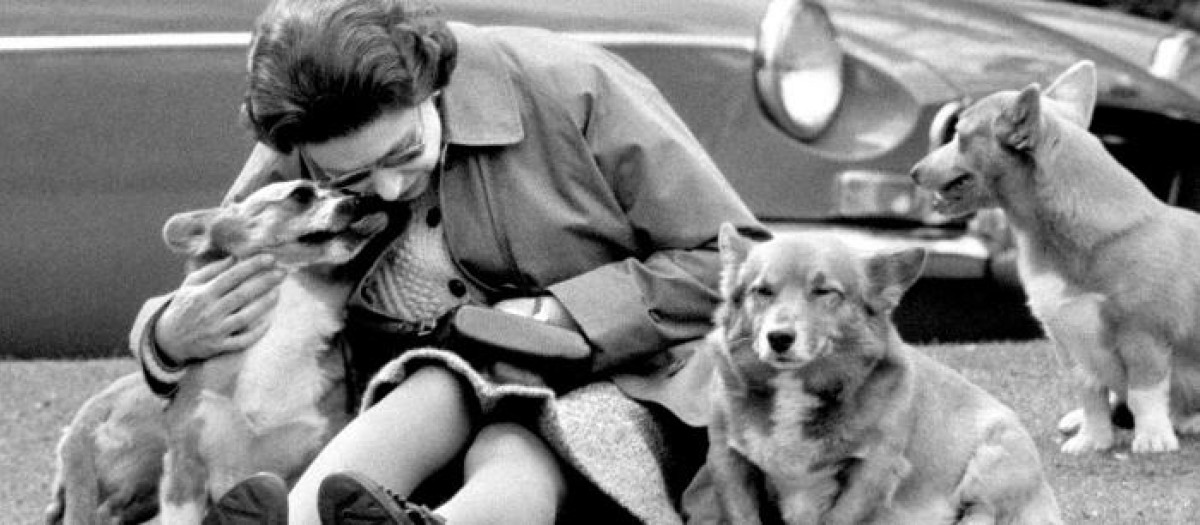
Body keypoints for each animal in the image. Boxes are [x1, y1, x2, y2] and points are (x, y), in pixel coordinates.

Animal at [44, 178, 384, 522]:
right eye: (301, 195)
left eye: (342, 189)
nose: (363, 197)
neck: (282, 321)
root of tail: (90, 411)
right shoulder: (184, 471)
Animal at [700, 224, 1060, 525]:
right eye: (762, 291)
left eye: (824, 291)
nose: (778, 338)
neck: (797, 388)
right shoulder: (729, 462)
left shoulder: (874, 470)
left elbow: (841, 517)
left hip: (991, 470)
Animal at [907, 61, 1200, 453]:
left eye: (958, 135)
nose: (913, 172)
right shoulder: (1071, 347)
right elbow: (1091, 397)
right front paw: (1092, 441)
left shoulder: (1144, 336)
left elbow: (1144, 394)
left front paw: (1152, 438)